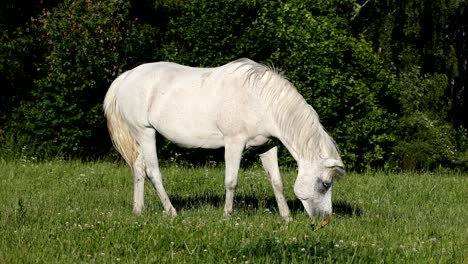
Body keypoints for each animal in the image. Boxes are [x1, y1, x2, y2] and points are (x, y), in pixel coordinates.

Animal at [103, 58, 344, 221]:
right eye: (325, 184)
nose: (325, 219)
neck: (260, 100)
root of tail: (128, 76)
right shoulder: (234, 143)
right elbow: (231, 181)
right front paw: (227, 215)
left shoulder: (267, 147)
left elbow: (277, 182)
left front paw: (286, 217)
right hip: (145, 133)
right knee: (153, 173)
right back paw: (171, 211)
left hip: (144, 137)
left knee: (138, 170)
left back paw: (138, 210)